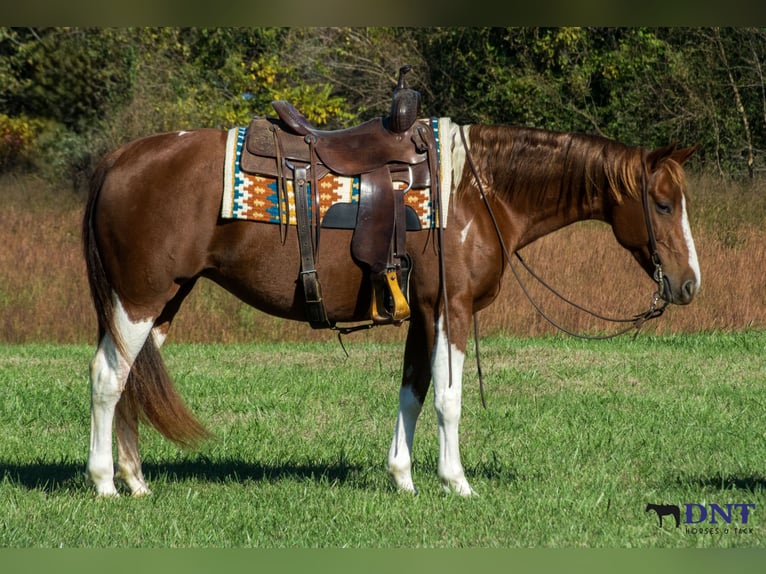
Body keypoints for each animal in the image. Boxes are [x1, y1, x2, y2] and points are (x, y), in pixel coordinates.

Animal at [82, 118, 701, 497]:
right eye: (662, 204)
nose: (690, 284)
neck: (476, 193)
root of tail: (118, 159)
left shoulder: (423, 313)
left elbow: (413, 391)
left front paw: (403, 477)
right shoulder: (452, 308)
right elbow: (449, 399)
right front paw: (456, 481)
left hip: (164, 301)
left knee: (134, 379)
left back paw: (136, 480)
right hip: (138, 300)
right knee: (108, 379)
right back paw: (105, 482)